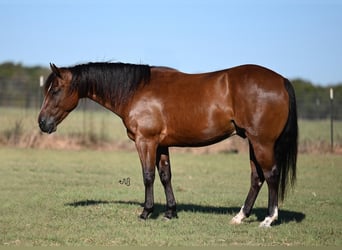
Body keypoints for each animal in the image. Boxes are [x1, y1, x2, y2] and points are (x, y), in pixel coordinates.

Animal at [38, 62, 298, 227]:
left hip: (262, 143)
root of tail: (281, 80)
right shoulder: (161, 145)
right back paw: (240, 217)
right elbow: (165, 176)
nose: (42, 123)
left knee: (271, 175)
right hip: (253, 143)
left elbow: (148, 176)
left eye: (56, 90)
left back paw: (268, 219)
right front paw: (170, 212)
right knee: (257, 178)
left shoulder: (146, 141)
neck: (136, 90)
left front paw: (146, 212)